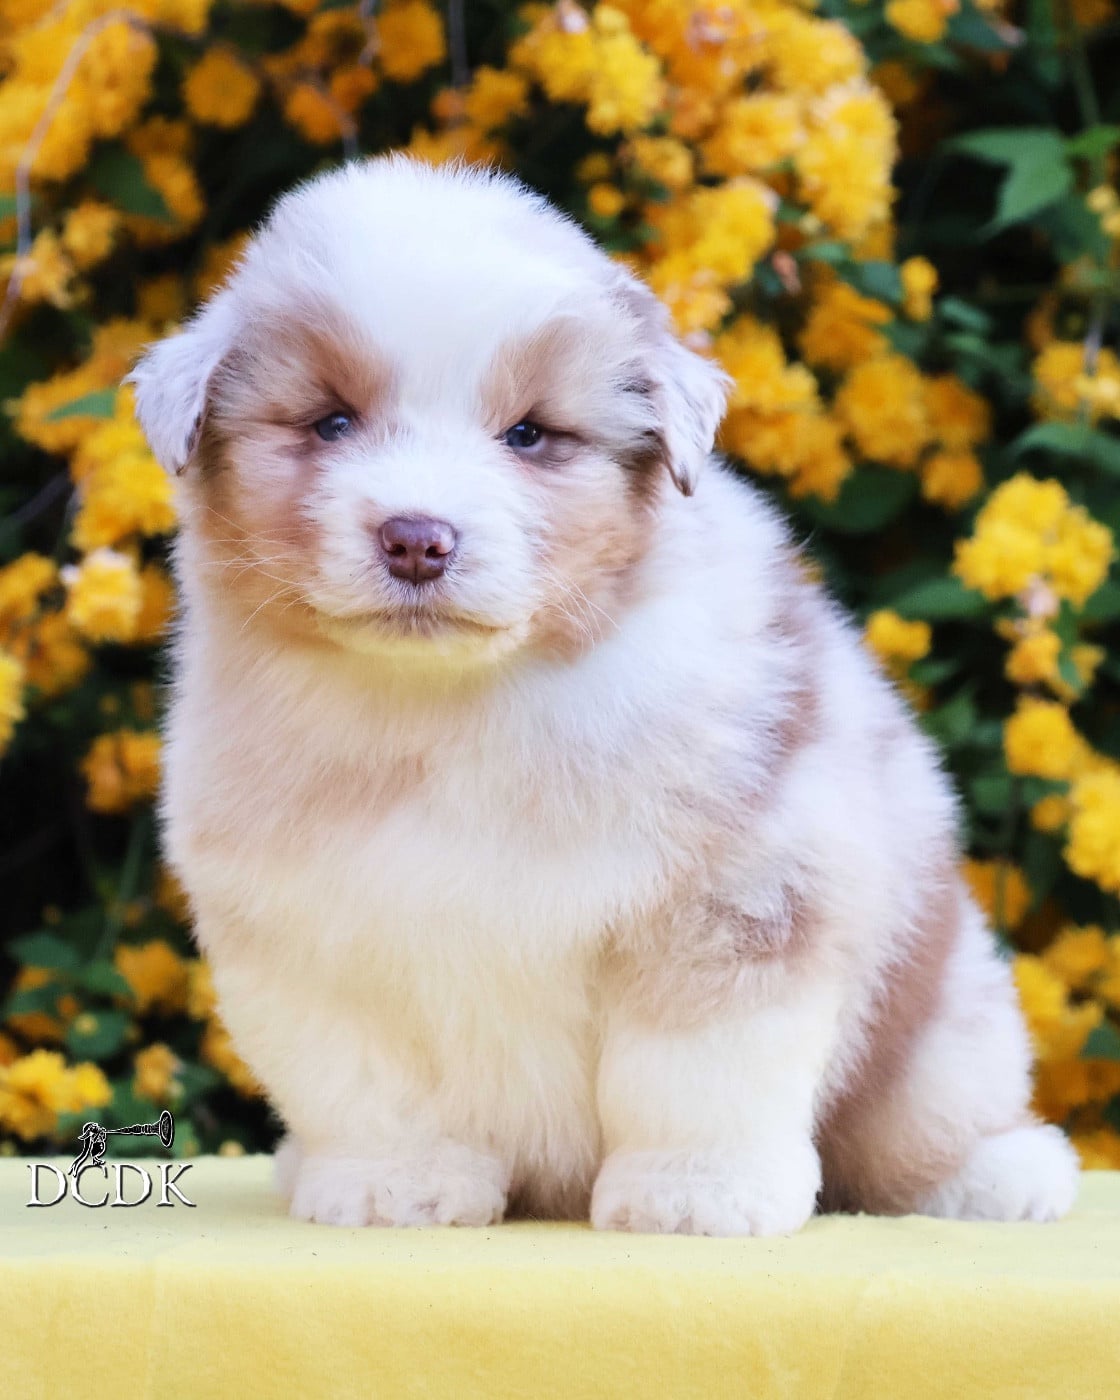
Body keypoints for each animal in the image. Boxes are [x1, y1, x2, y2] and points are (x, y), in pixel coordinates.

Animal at [131, 156, 1078, 1233]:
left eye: (529, 435)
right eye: (331, 421)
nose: (417, 538)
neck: (450, 703)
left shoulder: (737, 893)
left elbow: (695, 1068)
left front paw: (695, 1194)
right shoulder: (313, 937)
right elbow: (374, 1081)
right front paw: (393, 1184)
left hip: (939, 1013)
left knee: (922, 1123)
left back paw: (1002, 1174)